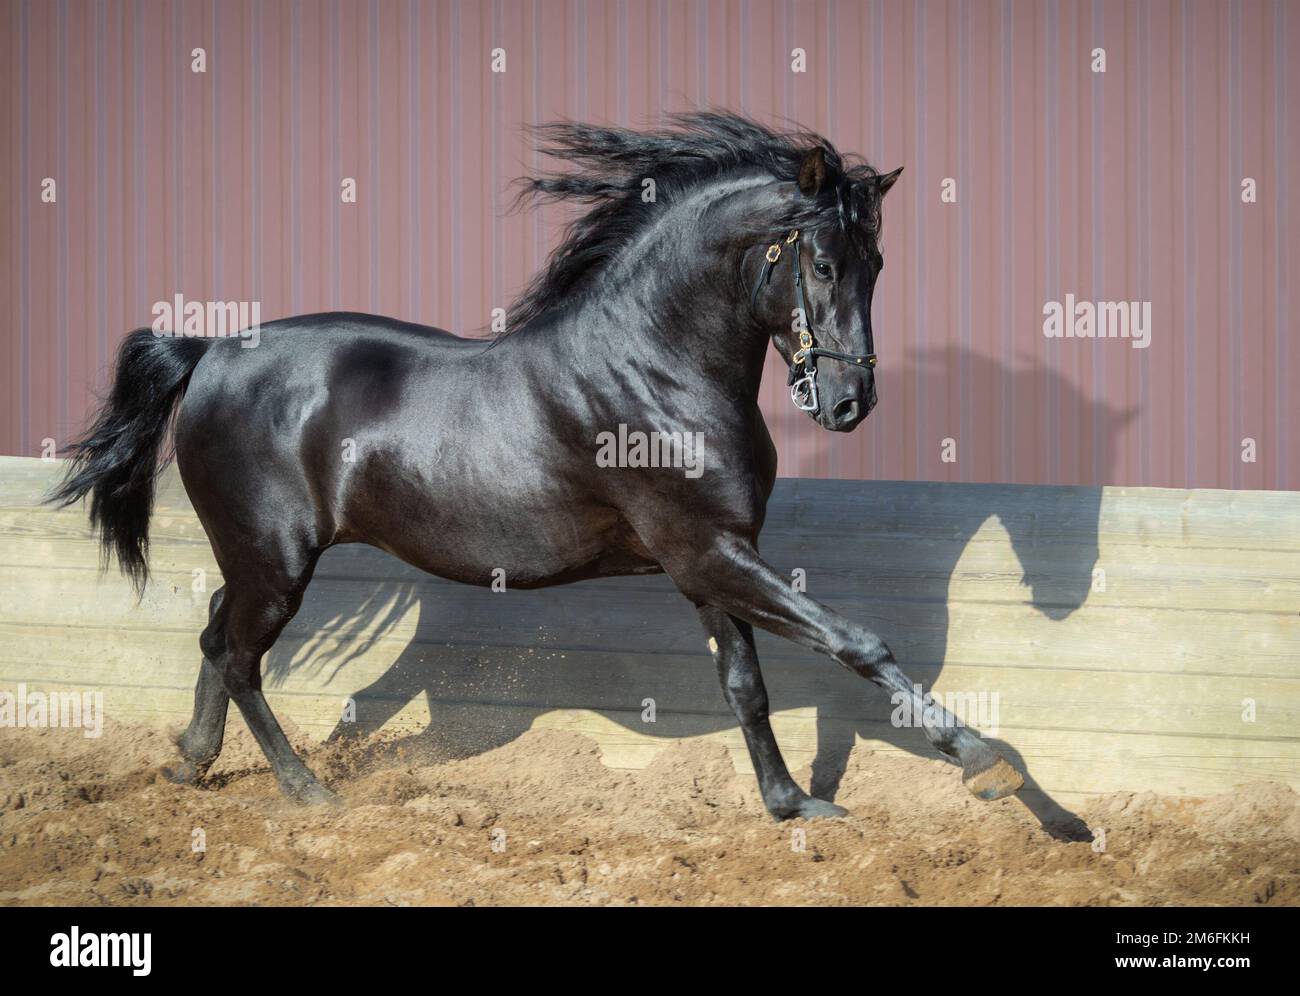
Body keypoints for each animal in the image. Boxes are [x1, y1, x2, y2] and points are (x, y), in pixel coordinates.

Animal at [50, 112, 1024, 820]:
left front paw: (790, 806)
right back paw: (306, 791)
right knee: (238, 655)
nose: (850, 404)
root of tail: (207, 349)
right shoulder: (707, 551)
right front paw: (988, 764)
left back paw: (191, 763)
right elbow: (855, 641)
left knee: (217, 636)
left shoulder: (711, 560)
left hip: (255, 561)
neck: (655, 364)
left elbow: (746, 685)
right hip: (275, 562)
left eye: (878, 263)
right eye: (822, 261)